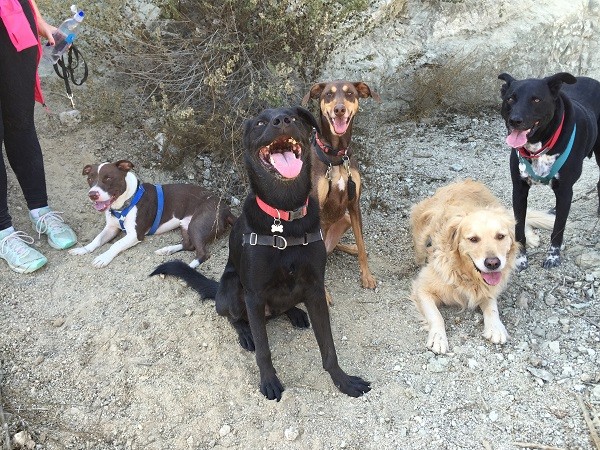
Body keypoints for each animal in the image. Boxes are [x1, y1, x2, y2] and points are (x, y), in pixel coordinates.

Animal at [71, 160, 237, 268]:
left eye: (108, 178)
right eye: (90, 179)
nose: (92, 194)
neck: (126, 202)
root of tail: (226, 209)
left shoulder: (135, 235)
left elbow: (115, 244)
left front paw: (103, 257)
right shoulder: (111, 228)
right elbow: (97, 239)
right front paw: (83, 249)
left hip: (197, 225)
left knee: (203, 253)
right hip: (186, 225)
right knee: (189, 245)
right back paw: (167, 250)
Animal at [152, 105, 368, 400]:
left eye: (295, 117)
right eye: (260, 123)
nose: (282, 121)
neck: (285, 216)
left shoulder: (314, 289)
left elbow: (328, 347)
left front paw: (343, 381)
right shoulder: (253, 296)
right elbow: (264, 350)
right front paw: (269, 381)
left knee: (282, 307)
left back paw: (295, 313)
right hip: (232, 288)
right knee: (231, 315)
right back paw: (245, 333)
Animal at [302, 80, 382, 288]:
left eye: (350, 94)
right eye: (328, 95)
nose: (339, 110)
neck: (336, 156)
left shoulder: (354, 204)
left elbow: (361, 242)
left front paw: (367, 276)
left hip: (344, 218)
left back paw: (350, 247)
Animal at [496, 73, 600, 270]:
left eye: (536, 99)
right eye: (511, 99)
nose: (515, 120)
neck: (539, 145)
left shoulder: (565, 190)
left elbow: (558, 228)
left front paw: (553, 257)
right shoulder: (519, 190)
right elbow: (519, 227)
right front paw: (521, 258)